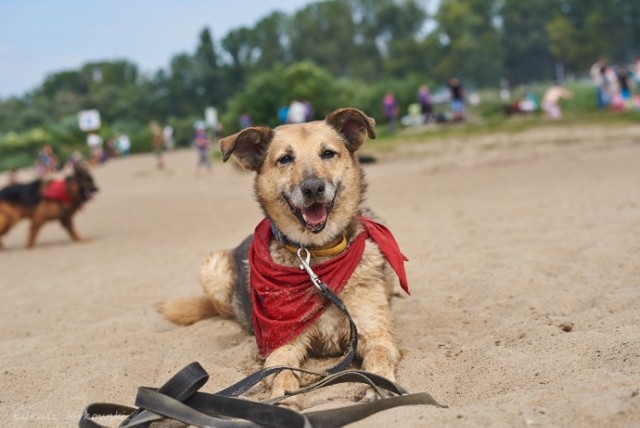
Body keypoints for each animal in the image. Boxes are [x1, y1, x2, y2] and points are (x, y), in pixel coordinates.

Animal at [159, 107, 410, 408]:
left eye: (328, 153)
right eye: (285, 159)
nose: (313, 188)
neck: (315, 257)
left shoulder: (375, 332)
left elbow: (380, 355)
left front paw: (379, 385)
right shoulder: (283, 344)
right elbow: (282, 373)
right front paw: (283, 401)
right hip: (211, 266)